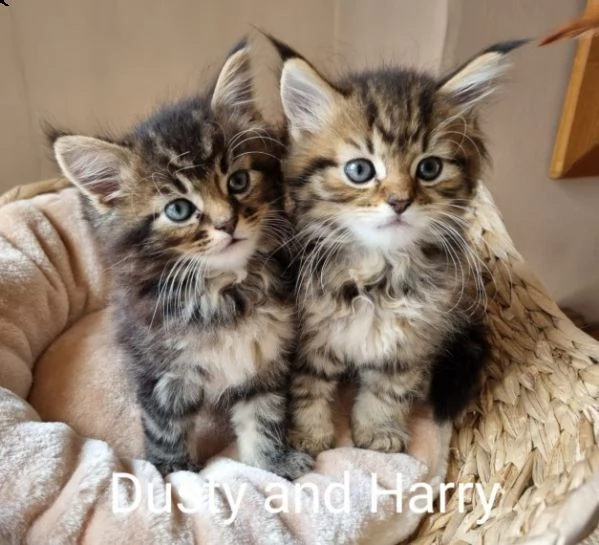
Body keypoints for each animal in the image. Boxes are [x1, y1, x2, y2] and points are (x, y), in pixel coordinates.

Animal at [52, 40, 314, 478]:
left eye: (238, 181)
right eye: (178, 210)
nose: (227, 223)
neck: (223, 293)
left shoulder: (267, 362)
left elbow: (264, 418)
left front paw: (273, 465)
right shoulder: (161, 375)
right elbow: (168, 432)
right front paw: (173, 480)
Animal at [264, 34, 528, 456]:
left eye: (430, 168)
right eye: (360, 170)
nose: (400, 201)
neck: (380, 271)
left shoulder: (411, 342)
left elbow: (388, 390)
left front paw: (378, 431)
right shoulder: (309, 336)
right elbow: (309, 385)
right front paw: (308, 435)